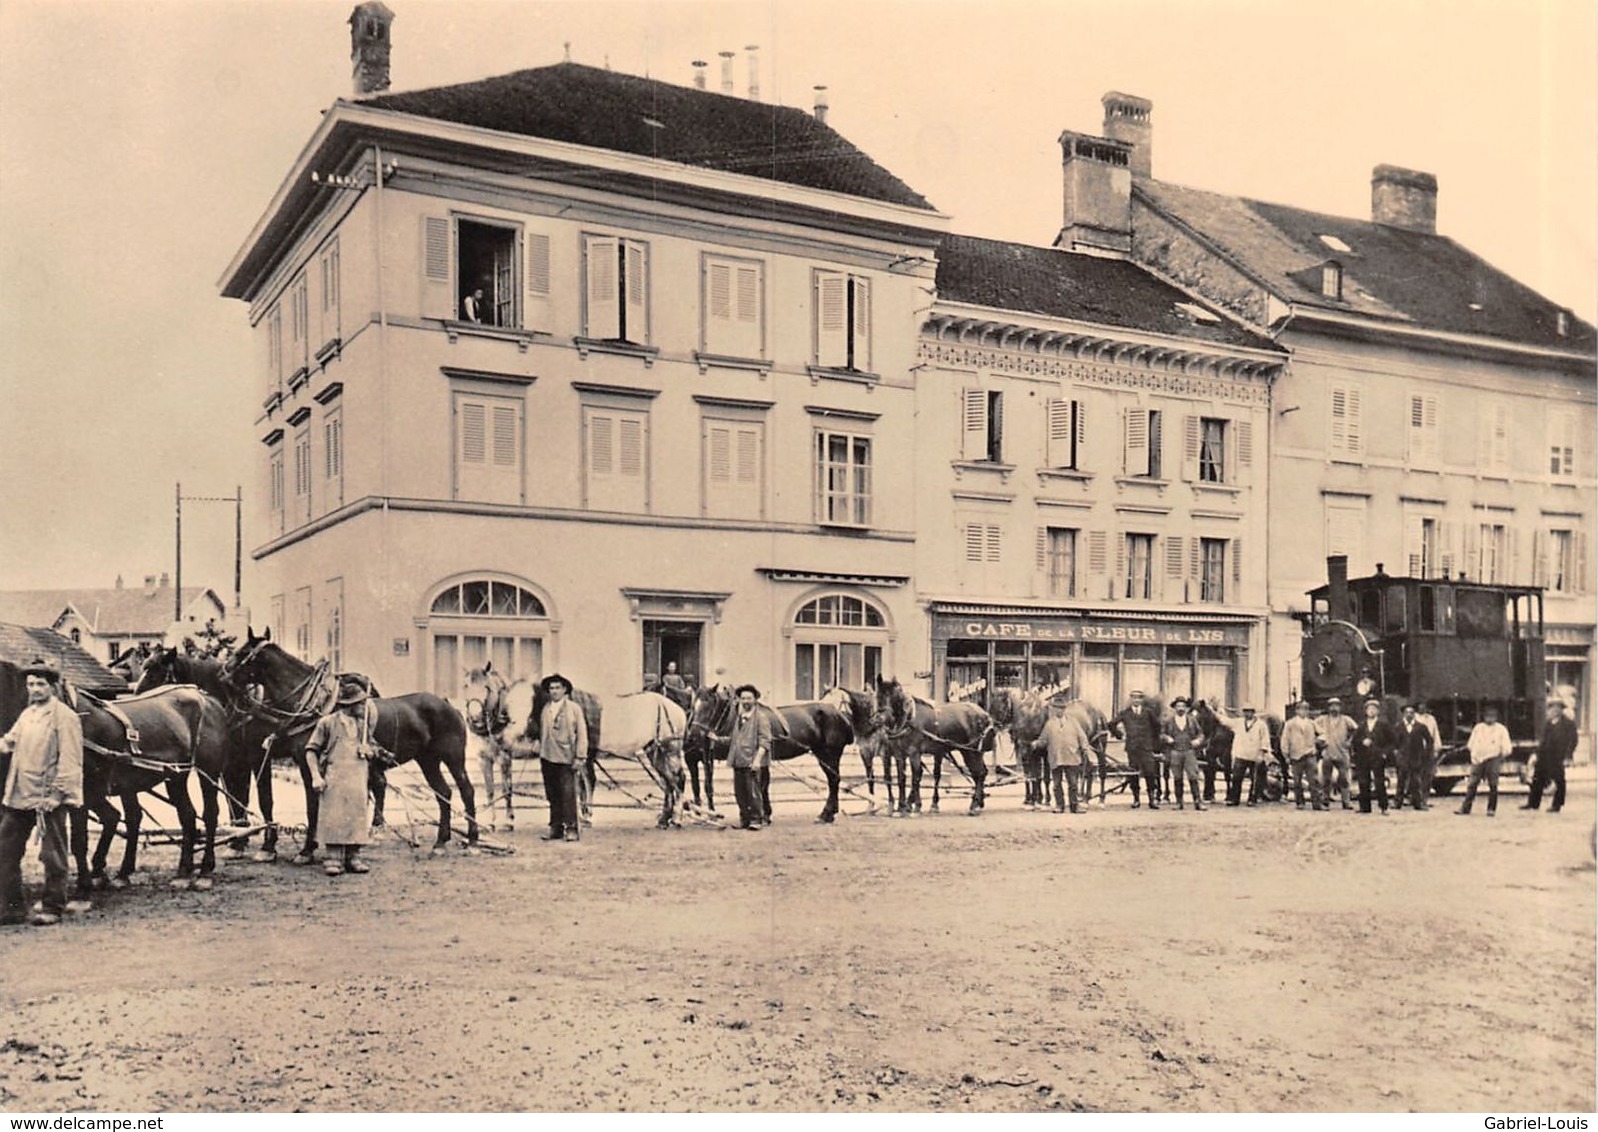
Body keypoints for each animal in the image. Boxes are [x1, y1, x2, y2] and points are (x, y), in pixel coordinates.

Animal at [68, 684, 233, 888]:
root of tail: (208, 699)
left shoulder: (87, 792)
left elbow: (82, 837)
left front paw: (90, 878)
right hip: (175, 775)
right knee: (187, 815)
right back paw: (182, 871)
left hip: (208, 771)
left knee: (210, 815)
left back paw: (205, 870)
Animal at [223, 626, 473, 856]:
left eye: (242, 652)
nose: (223, 674)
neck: (313, 703)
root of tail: (448, 705)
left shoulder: (298, 761)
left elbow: (310, 804)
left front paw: (306, 849)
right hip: (428, 760)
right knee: (443, 793)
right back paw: (441, 841)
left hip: (453, 758)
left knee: (465, 790)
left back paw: (472, 840)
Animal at [687, 681, 862, 825]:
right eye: (693, 705)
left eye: (708, 705)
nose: (693, 733)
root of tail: (839, 713)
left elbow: (761, 784)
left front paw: (761, 815)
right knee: (834, 780)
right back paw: (829, 814)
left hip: (829, 753)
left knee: (833, 781)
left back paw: (826, 814)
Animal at [869, 677, 990, 818]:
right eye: (877, 696)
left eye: (892, 696)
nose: (877, 719)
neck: (909, 719)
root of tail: (983, 713)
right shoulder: (900, 754)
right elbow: (901, 779)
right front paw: (902, 807)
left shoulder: (914, 753)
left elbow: (915, 777)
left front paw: (916, 806)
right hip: (969, 751)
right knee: (979, 773)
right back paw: (979, 802)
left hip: (971, 751)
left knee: (979, 773)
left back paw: (975, 805)